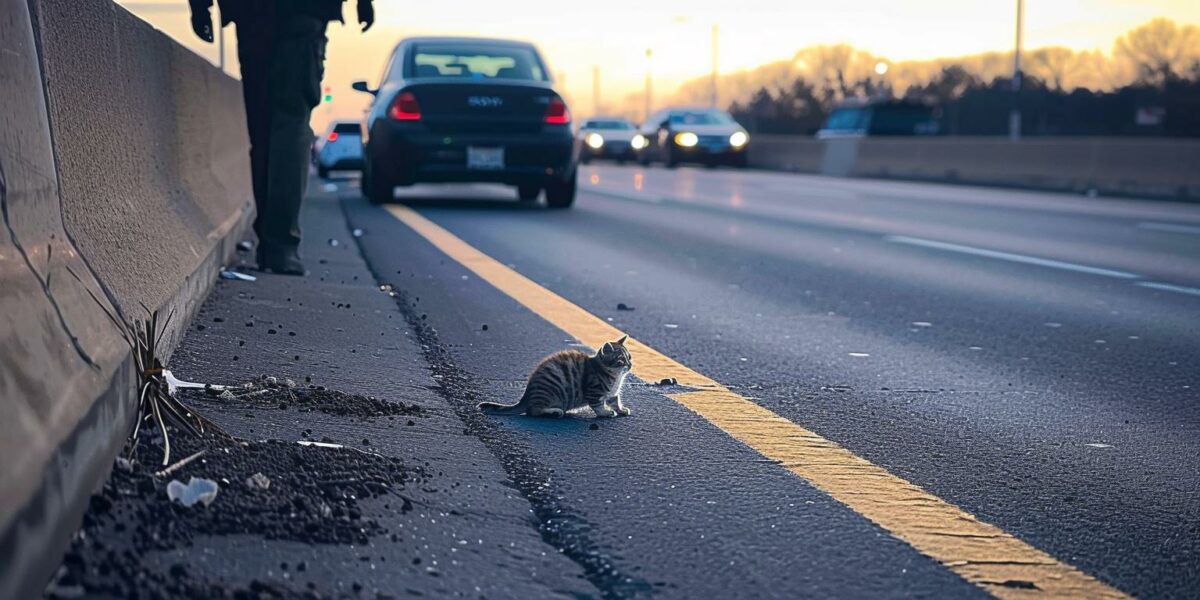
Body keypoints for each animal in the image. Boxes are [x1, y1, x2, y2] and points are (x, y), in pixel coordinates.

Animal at [477, 338, 633, 417]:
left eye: (630, 357)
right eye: (621, 360)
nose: (630, 365)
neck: (615, 376)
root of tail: (526, 396)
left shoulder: (612, 393)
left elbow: (615, 400)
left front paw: (621, 409)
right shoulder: (593, 391)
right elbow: (597, 405)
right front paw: (605, 412)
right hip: (549, 390)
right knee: (533, 410)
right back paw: (554, 411)